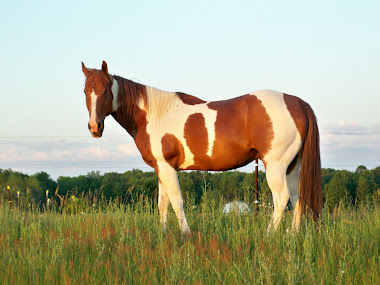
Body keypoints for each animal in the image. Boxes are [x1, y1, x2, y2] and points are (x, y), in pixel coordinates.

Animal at [81, 60, 322, 233]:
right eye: (85, 91)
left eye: (105, 90)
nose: (95, 127)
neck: (152, 114)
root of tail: (296, 102)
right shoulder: (160, 168)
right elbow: (162, 203)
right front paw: (163, 234)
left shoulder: (167, 167)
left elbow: (176, 201)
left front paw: (185, 234)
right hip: (292, 165)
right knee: (296, 197)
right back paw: (293, 235)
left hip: (275, 164)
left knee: (281, 198)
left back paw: (269, 235)